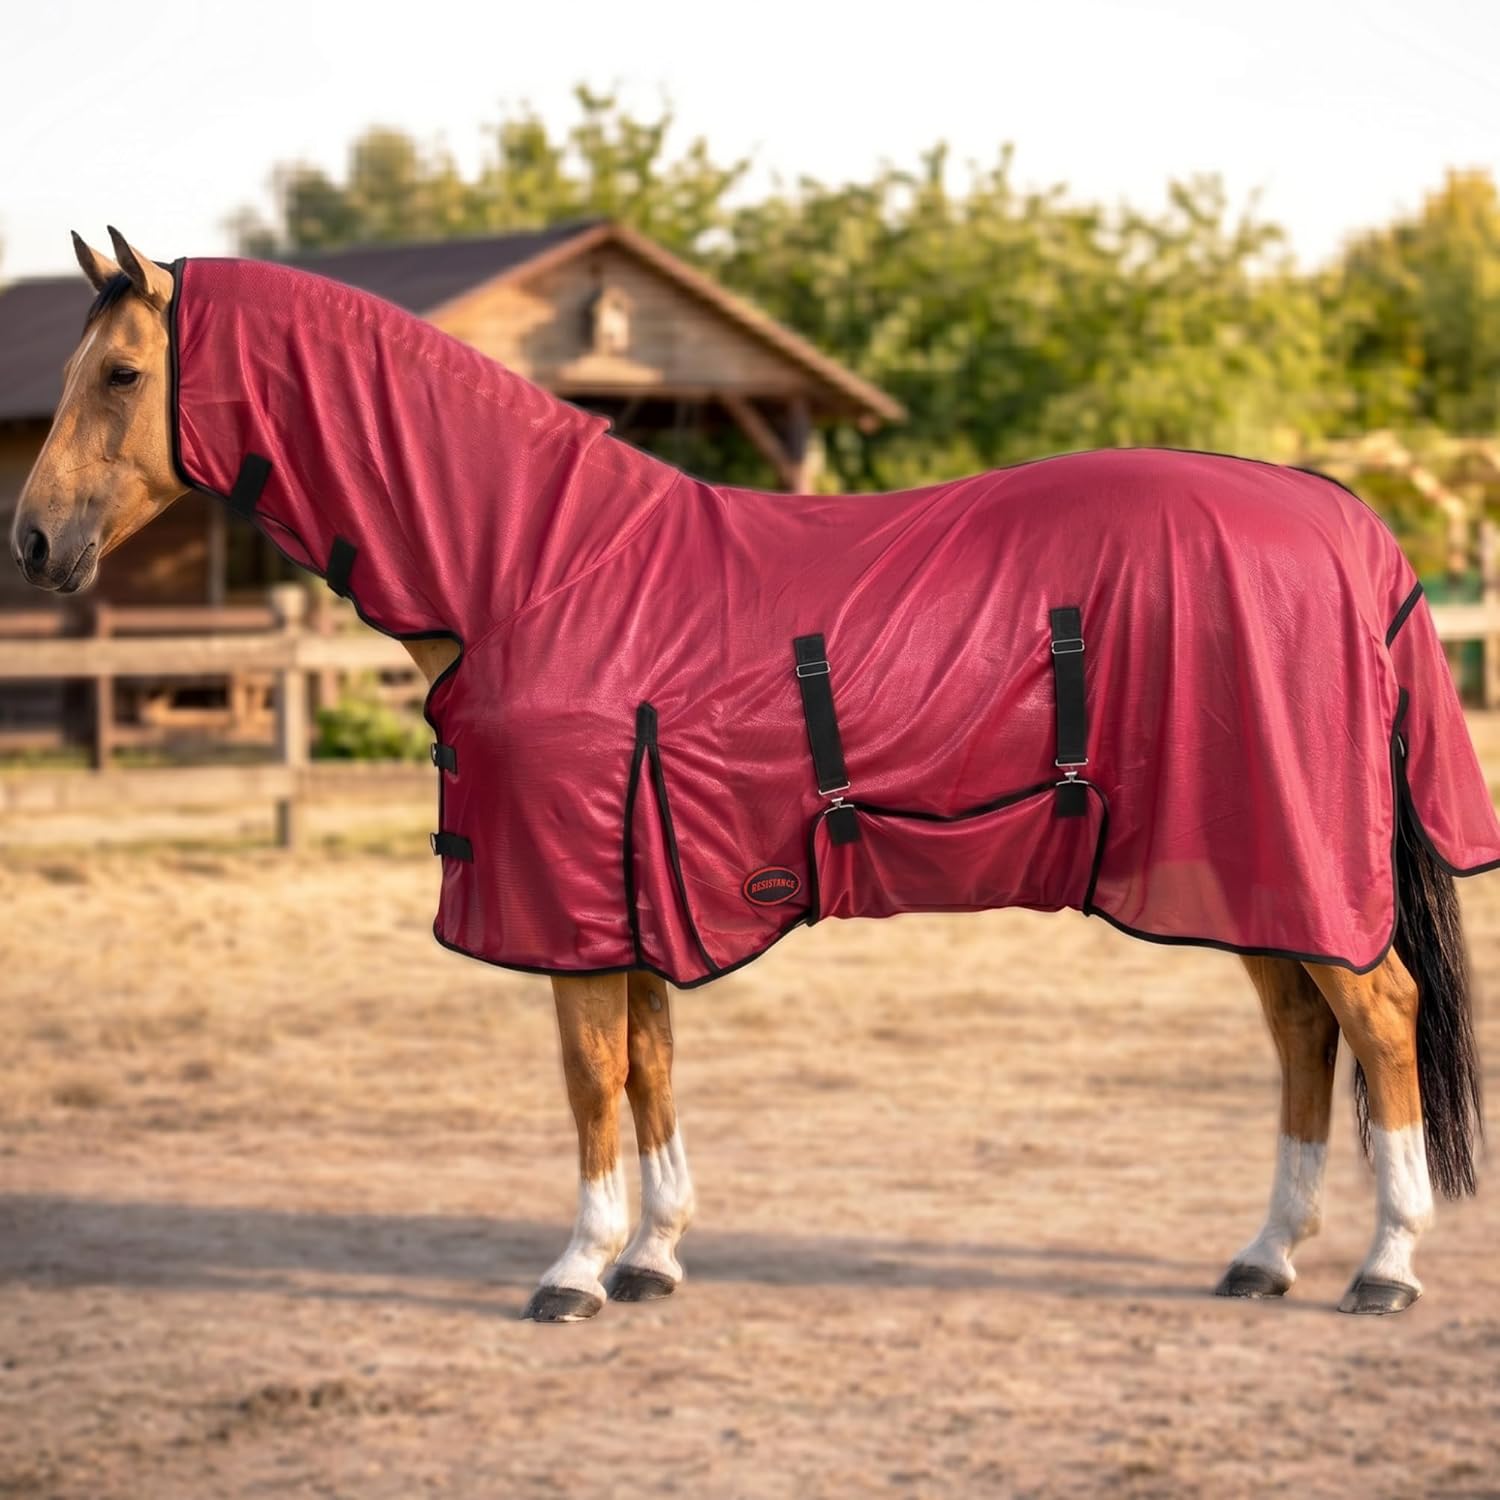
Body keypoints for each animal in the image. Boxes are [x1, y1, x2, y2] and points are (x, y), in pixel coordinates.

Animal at [9, 228, 1487, 1320]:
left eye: (123, 375)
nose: (29, 542)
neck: (535, 566)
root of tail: (1343, 519)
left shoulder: (575, 901)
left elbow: (591, 1080)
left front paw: (576, 1270)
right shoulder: (633, 890)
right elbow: (651, 1068)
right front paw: (655, 1256)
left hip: (1286, 865)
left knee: (1380, 1018)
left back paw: (1385, 1266)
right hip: (1240, 872)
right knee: (1303, 1035)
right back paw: (1265, 1256)